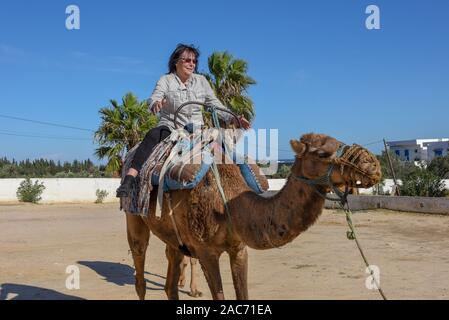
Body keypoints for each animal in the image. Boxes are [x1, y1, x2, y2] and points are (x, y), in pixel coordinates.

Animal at [124, 132, 380, 300]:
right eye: (322, 153)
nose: (372, 165)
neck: (227, 203)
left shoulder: (239, 248)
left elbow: (243, 295)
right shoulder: (206, 251)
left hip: (175, 237)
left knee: (170, 280)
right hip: (133, 215)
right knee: (140, 271)